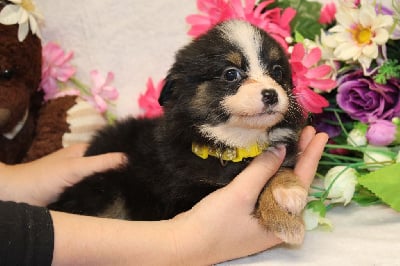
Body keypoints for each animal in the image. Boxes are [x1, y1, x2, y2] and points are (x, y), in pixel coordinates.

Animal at [49, 19, 306, 245]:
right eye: (231, 74)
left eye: (277, 72)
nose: (271, 94)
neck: (237, 141)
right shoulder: (187, 194)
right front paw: (286, 222)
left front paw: (287, 189)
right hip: (106, 185)